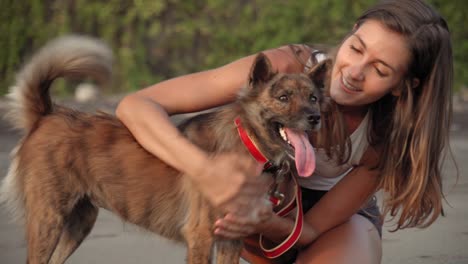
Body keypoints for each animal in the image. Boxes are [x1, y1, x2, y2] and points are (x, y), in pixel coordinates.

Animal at [0, 35, 330, 264]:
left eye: (313, 97)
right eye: (283, 97)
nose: (315, 118)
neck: (248, 144)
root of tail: (46, 114)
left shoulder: (229, 240)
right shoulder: (200, 237)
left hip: (79, 222)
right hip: (48, 220)